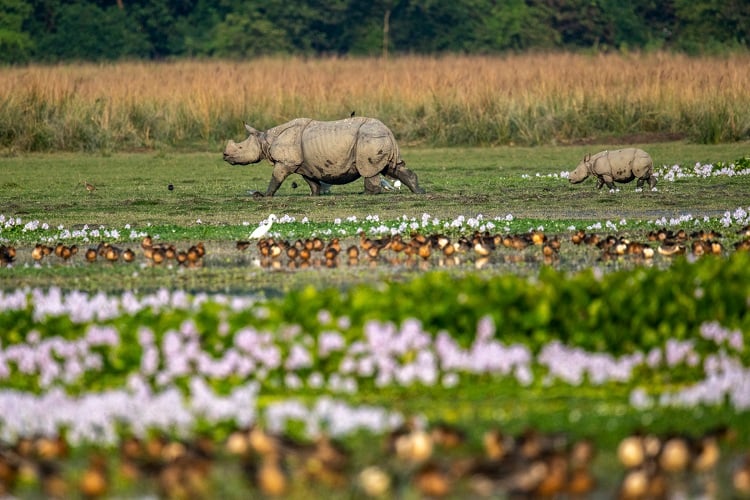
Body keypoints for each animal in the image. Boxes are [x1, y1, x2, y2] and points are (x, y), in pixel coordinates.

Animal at [223, 117, 425, 196]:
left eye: (239, 147)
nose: (224, 156)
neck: (265, 139)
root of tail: (389, 131)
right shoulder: (303, 164)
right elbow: (311, 181)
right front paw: (314, 195)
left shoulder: (286, 162)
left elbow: (276, 178)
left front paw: (262, 196)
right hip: (378, 138)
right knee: (394, 167)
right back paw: (419, 191)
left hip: (368, 139)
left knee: (369, 170)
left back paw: (366, 194)